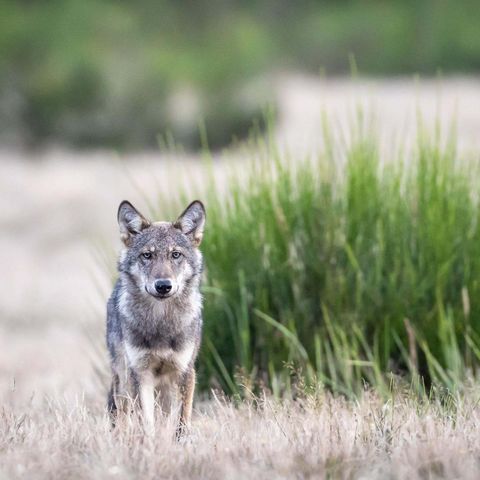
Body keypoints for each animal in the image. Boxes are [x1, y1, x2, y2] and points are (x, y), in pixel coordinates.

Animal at [106, 199, 205, 436]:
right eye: (147, 255)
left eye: (175, 255)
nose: (163, 286)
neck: (161, 323)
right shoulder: (140, 374)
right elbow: (146, 420)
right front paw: (149, 443)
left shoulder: (185, 371)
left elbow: (182, 419)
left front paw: (181, 441)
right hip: (122, 379)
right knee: (123, 414)